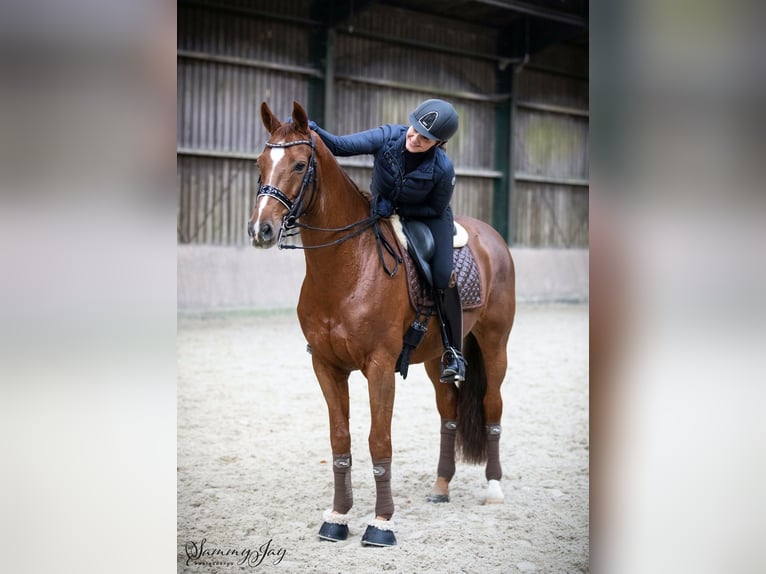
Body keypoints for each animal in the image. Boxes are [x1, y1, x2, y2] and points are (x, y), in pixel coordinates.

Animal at [248, 101, 515, 547]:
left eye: (300, 164)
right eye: (260, 163)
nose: (261, 230)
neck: (347, 268)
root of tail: (490, 235)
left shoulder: (379, 366)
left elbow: (379, 441)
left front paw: (381, 523)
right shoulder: (326, 366)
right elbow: (340, 440)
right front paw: (338, 517)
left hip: (495, 344)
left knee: (492, 405)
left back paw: (494, 488)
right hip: (436, 358)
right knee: (449, 411)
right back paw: (441, 486)